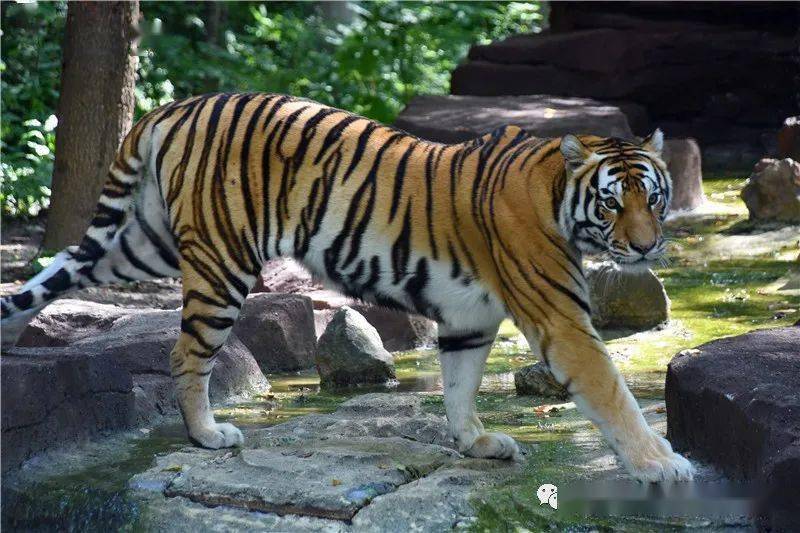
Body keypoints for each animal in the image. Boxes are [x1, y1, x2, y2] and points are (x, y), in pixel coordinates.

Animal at [1, 92, 693, 482]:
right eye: (611, 203)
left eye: (654, 199)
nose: (644, 246)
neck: (558, 197)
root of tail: (174, 108)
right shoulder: (561, 318)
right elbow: (612, 393)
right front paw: (661, 463)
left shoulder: (468, 319)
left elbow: (459, 385)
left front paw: (475, 444)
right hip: (221, 262)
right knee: (185, 353)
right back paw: (208, 434)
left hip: (144, 243)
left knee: (63, 266)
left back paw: (11, 325)